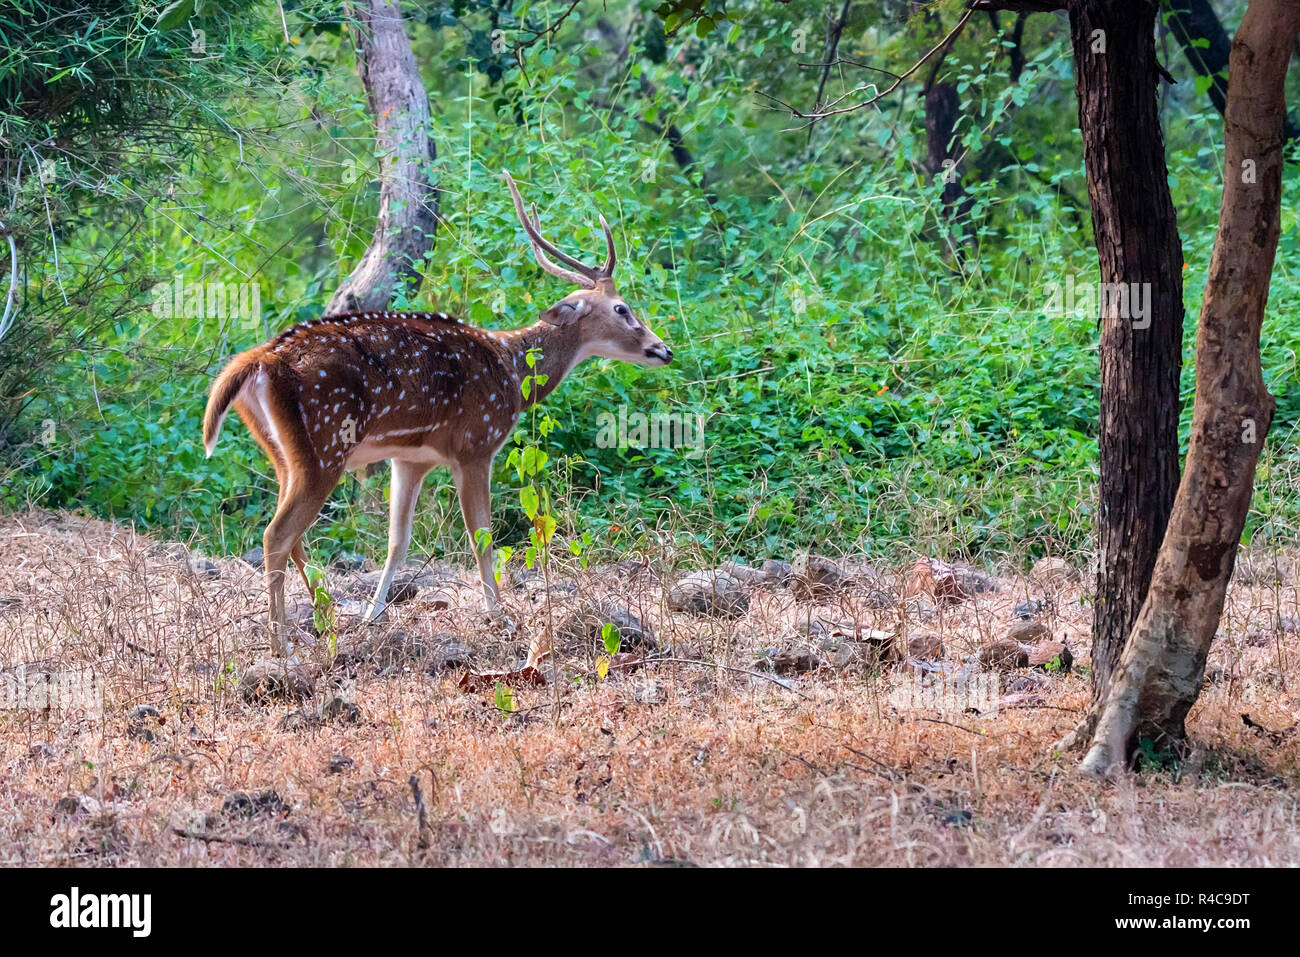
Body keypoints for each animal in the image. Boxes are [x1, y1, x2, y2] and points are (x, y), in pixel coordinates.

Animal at [205, 171, 670, 655]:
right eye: (622, 308)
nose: (663, 349)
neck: (511, 372)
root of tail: (259, 361)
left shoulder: (410, 458)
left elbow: (397, 541)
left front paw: (373, 616)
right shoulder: (476, 444)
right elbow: (481, 538)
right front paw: (501, 619)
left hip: (282, 452)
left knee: (290, 533)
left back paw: (323, 618)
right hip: (326, 443)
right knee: (277, 534)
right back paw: (282, 643)